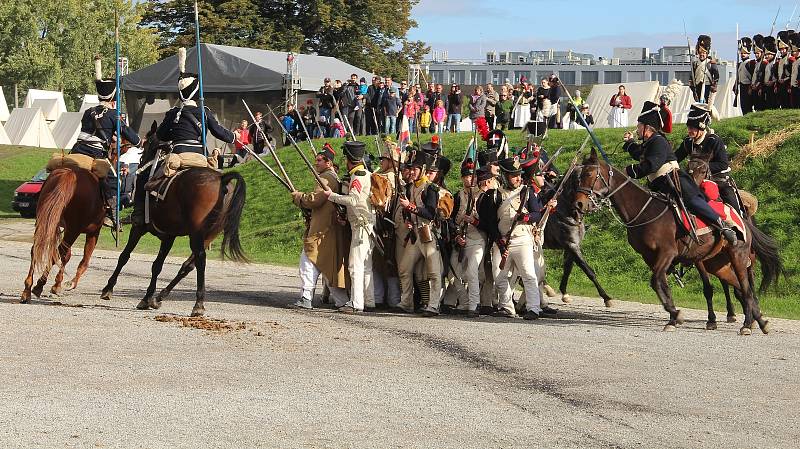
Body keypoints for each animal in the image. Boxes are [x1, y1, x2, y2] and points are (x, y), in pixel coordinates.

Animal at [21, 164, 105, 300]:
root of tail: (69, 175)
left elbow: (68, 256)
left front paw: (58, 283)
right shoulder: (93, 232)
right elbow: (83, 260)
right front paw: (61, 284)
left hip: (43, 220)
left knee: (36, 249)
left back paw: (27, 289)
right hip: (74, 229)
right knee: (59, 251)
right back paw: (39, 285)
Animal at [101, 121, 248, 316]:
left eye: (147, 144)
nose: (141, 161)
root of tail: (222, 179)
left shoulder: (139, 228)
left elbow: (124, 256)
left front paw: (108, 288)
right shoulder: (169, 236)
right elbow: (157, 265)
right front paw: (147, 297)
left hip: (196, 234)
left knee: (200, 259)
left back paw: (198, 304)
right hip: (209, 235)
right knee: (188, 265)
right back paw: (160, 297)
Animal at [576, 149, 780, 334]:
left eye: (589, 174)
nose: (579, 203)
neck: (644, 211)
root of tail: (741, 217)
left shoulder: (667, 253)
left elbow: (656, 282)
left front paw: (675, 314)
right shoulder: (650, 257)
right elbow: (661, 284)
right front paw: (674, 317)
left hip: (739, 256)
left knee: (746, 288)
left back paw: (747, 324)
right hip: (717, 264)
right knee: (740, 289)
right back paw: (759, 320)